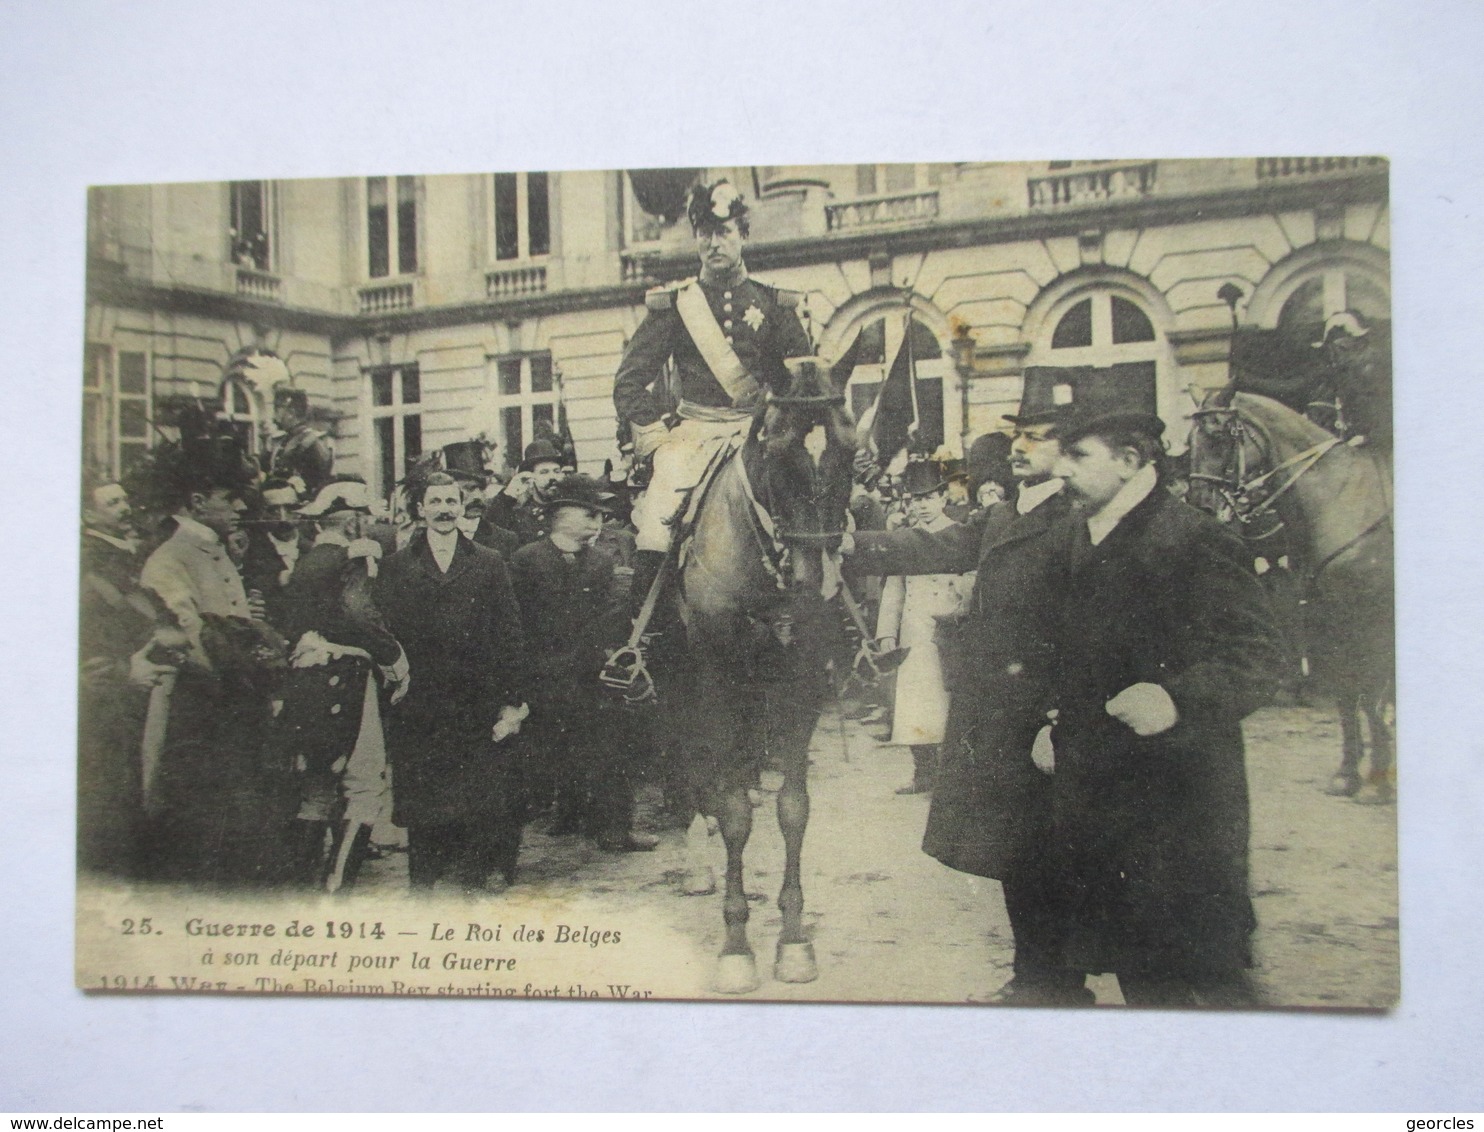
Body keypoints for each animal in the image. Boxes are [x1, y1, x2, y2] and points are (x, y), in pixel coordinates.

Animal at [655, 356, 854, 991]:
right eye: (776, 449)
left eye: (849, 449)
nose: (815, 582)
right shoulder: (717, 685)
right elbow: (737, 813)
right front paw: (736, 946)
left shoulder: (802, 687)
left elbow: (793, 808)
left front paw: (792, 939)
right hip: (683, 686)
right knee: (693, 769)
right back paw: (698, 857)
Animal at [1181, 388, 1389, 807]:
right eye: (1188, 442)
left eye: (1220, 434)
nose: (1201, 506)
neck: (1340, 501)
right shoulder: (1327, 619)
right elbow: (1347, 694)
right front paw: (1346, 775)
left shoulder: (1368, 620)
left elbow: (1370, 694)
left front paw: (1375, 783)